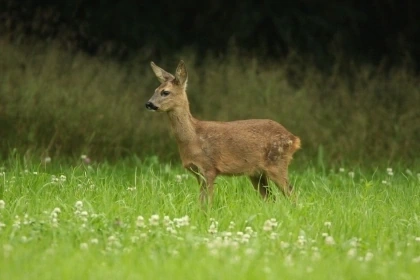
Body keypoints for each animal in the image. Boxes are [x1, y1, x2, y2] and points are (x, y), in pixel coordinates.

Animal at [146, 60, 300, 203]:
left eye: (165, 92)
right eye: (155, 90)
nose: (148, 104)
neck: (193, 137)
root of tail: (294, 139)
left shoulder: (209, 168)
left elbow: (208, 202)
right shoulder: (198, 172)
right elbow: (201, 202)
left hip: (277, 163)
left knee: (292, 195)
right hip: (257, 173)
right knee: (271, 198)